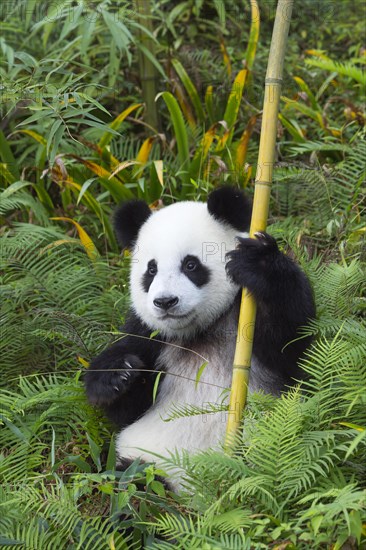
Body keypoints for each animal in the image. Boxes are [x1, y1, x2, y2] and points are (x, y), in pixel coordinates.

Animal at [85, 188, 314, 490]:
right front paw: (119, 374)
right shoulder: (149, 336)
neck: (199, 330)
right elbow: (126, 411)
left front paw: (259, 262)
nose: (165, 302)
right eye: (151, 270)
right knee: (126, 481)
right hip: (143, 458)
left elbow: (295, 351)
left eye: (191, 264)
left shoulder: (244, 318)